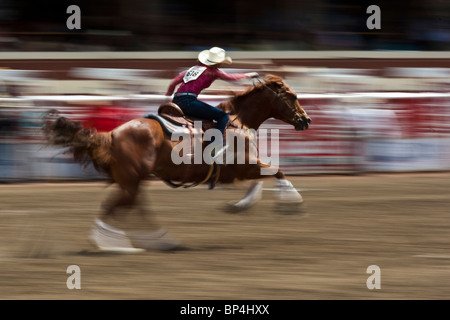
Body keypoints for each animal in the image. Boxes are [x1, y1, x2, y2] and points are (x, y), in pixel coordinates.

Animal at [43, 75, 310, 252]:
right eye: (293, 96)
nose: (305, 120)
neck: (238, 120)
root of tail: (112, 135)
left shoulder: (244, 169)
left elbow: (261, 181)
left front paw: (239, 205)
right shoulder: (243, 166)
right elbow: (277, 172)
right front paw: (292, 202)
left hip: (133, 181)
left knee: (134, 208)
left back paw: (160, 241)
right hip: (131, 181)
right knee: (115, 208)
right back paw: (113, 244)